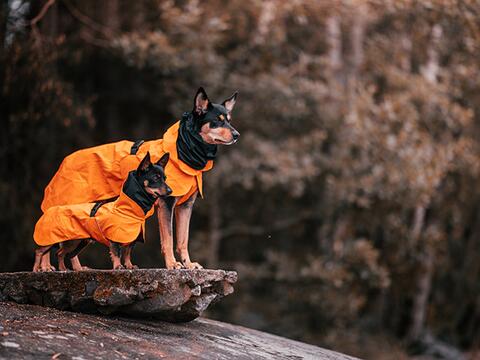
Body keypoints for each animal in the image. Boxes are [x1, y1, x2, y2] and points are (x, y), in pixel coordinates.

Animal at [32, 150, 171, 272]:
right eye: (155, 178)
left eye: (165, 178)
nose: (170, 191)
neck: (129, 210)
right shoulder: (114, 237)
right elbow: (116, 253)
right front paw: (118, 266)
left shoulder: (132, 240)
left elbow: (127, 253)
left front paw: (129, 266)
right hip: (52, 240)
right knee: (40, 251)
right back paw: (36, 269)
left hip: (76, 242)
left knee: (60, 253)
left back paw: (63, 269)